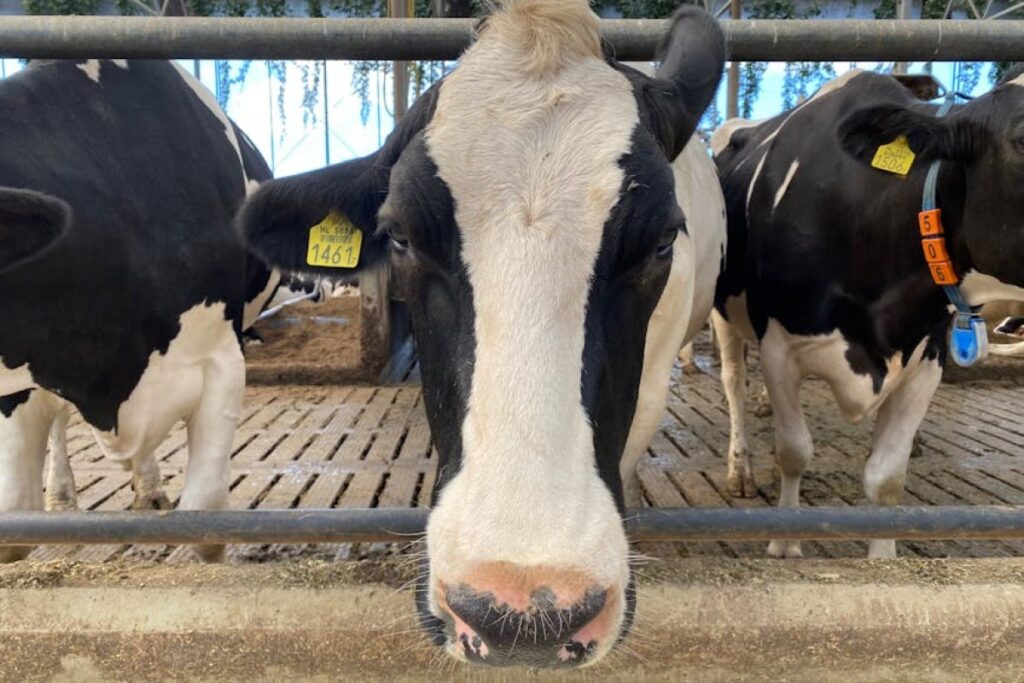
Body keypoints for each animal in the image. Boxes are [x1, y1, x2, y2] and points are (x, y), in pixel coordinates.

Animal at [0, 59, 279, 562]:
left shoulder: (221, 358)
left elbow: (206, 517)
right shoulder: (20, 381)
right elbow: (13, 514)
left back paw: (147, 487)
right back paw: (63, 496)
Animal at [712, 64, 1024, 559]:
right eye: (1023, 139)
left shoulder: (926, 357)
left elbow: (887, 476)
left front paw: (883, 557)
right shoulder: (780, 347)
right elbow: (794, 451)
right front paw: (785, 543)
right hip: (724, 314)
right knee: (733, 382)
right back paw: (740, 467)